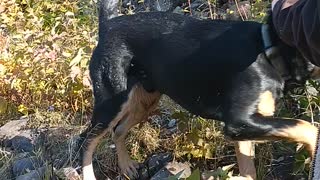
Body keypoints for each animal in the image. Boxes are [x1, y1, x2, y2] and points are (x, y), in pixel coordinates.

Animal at [78, 0, 320, 179]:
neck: (267, 47)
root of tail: (108, 26)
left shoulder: (247, 127)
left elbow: (249, 170)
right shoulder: (238, 121)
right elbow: (306, 127)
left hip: (145, 100)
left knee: (118, 130)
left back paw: (127, 165)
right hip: (111, 101)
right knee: (88, 141)